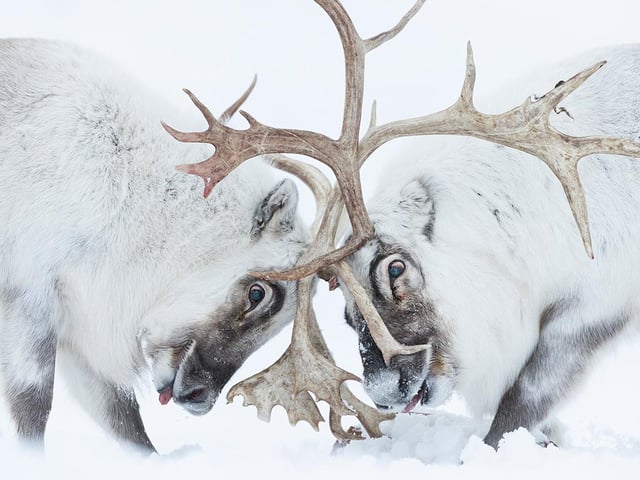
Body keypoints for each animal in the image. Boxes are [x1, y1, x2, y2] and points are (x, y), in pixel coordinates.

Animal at [0, 38, 310, 453]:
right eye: (257, 292)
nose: (199, 397)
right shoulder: (31, 296)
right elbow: (33, 407)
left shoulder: (82, 327)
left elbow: (125, 422)